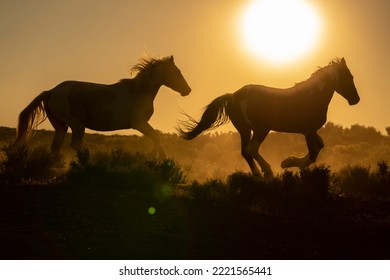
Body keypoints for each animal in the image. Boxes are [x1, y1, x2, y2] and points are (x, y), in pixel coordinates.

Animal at [15, 55, 192, 159]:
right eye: (177, 72)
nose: (188, 90)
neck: (139, 91)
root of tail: (51, 91)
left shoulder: (141, 124)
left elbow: (156, 138)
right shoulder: (139, 124)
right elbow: (156, 137)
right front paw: (158, 159)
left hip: (60, 126)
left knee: (56, 147)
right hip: (77, 125)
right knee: (75, 145)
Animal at [179, 58, 360, 178]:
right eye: (349, 77)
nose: (355, 100)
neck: (313, 96)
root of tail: (233, 96)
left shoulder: (310, 130)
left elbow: (320, 146)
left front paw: (290, 161)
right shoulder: (308, 131)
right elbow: (313, 153)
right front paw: (289, 163)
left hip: (245, 129)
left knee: (245, 151)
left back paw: (258, 176)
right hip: (261, 129)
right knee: (251, 149)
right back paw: (268, 171)